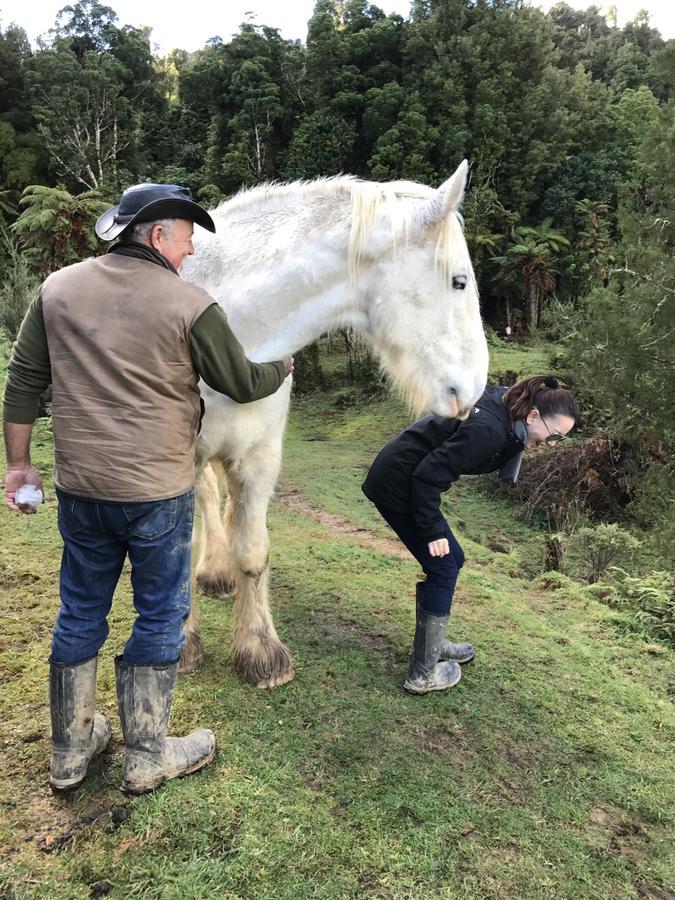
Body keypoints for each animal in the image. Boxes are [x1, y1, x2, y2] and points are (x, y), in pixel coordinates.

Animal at [177, 160, 488, 688]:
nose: (473, 391)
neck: (237, 329)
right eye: (459, 282)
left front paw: (260, 651)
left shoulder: (261, 457)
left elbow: (253, 551)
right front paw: (182, 646)